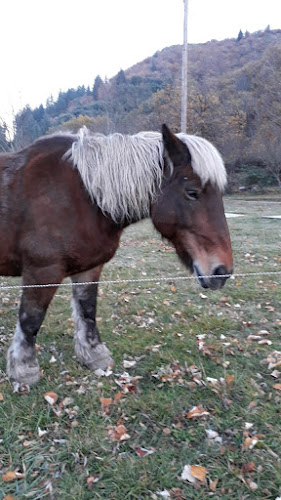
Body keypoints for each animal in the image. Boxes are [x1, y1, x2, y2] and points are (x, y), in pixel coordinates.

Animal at [0, 125, 232, 386]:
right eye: (192, 193)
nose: (222, 271)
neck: (83, 197)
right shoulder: (42, 271)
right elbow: (31, 319)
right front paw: (24, 370)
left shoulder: (88, 268)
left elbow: (87, 311)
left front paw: (94, 355)